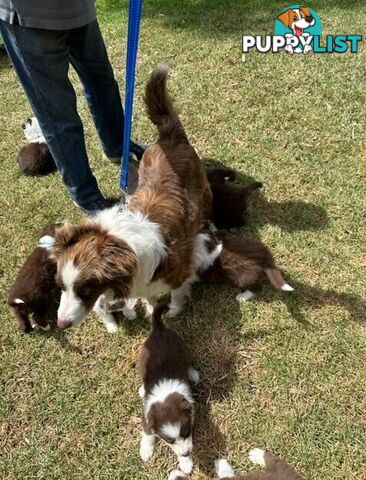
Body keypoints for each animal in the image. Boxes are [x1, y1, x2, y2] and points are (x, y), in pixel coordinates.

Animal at [50, 64, 213, 334]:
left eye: (85, 289)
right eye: (61, 286)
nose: (61, 324)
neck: (123, 246)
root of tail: (169, 135)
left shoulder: (178, 270)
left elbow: (177, 292)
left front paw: (174, 310)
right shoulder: (142, 283)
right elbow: (149, 297)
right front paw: (150, 309)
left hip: (203, 189)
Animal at [138, 302, 200, 474]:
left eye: (186, 432)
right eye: (169, 440)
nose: (186, 453)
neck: (165, 397)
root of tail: (158, 328)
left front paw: (185, 463)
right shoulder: (147, 416)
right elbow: (147, 434)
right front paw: (145, 451)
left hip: (184, 348)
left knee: (188, 362)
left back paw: (193, 374)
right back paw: (142, 389)